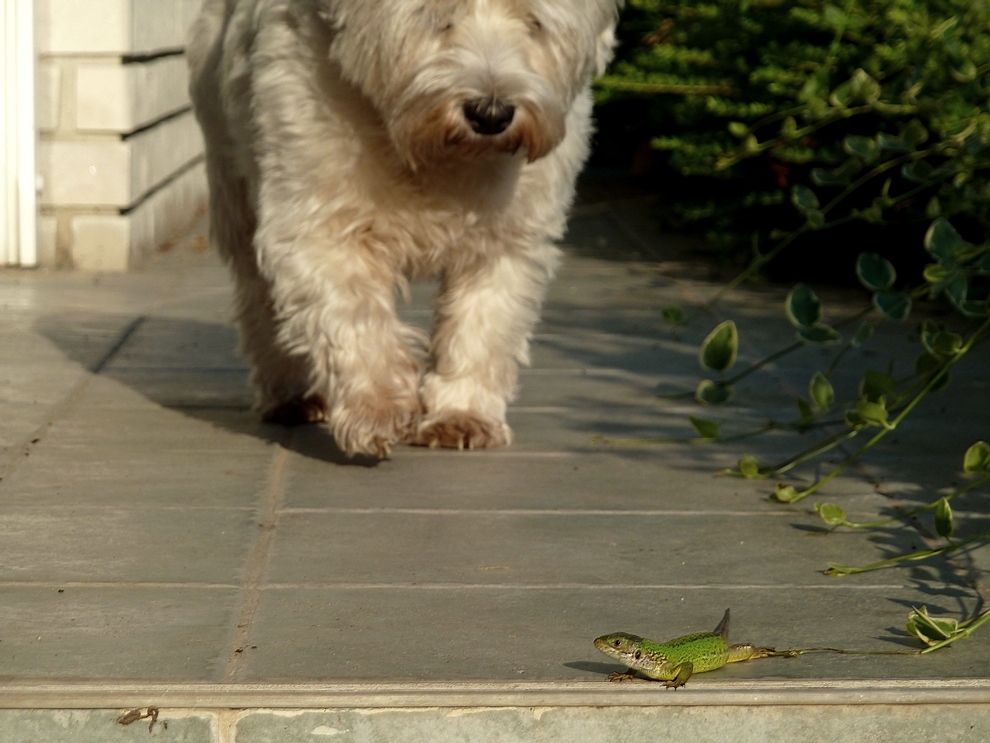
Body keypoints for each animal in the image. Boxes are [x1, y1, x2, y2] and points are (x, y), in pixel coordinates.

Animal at [188, 1, 620, 460]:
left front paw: (462, 413)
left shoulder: (508, 239)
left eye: (535, 24)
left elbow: (484, 323)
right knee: (260, 300)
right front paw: (378, 405)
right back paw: (291, 395)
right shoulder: (317, 221)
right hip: (233, 180)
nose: (491, 114)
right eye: (437, 18)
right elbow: (355, 315)